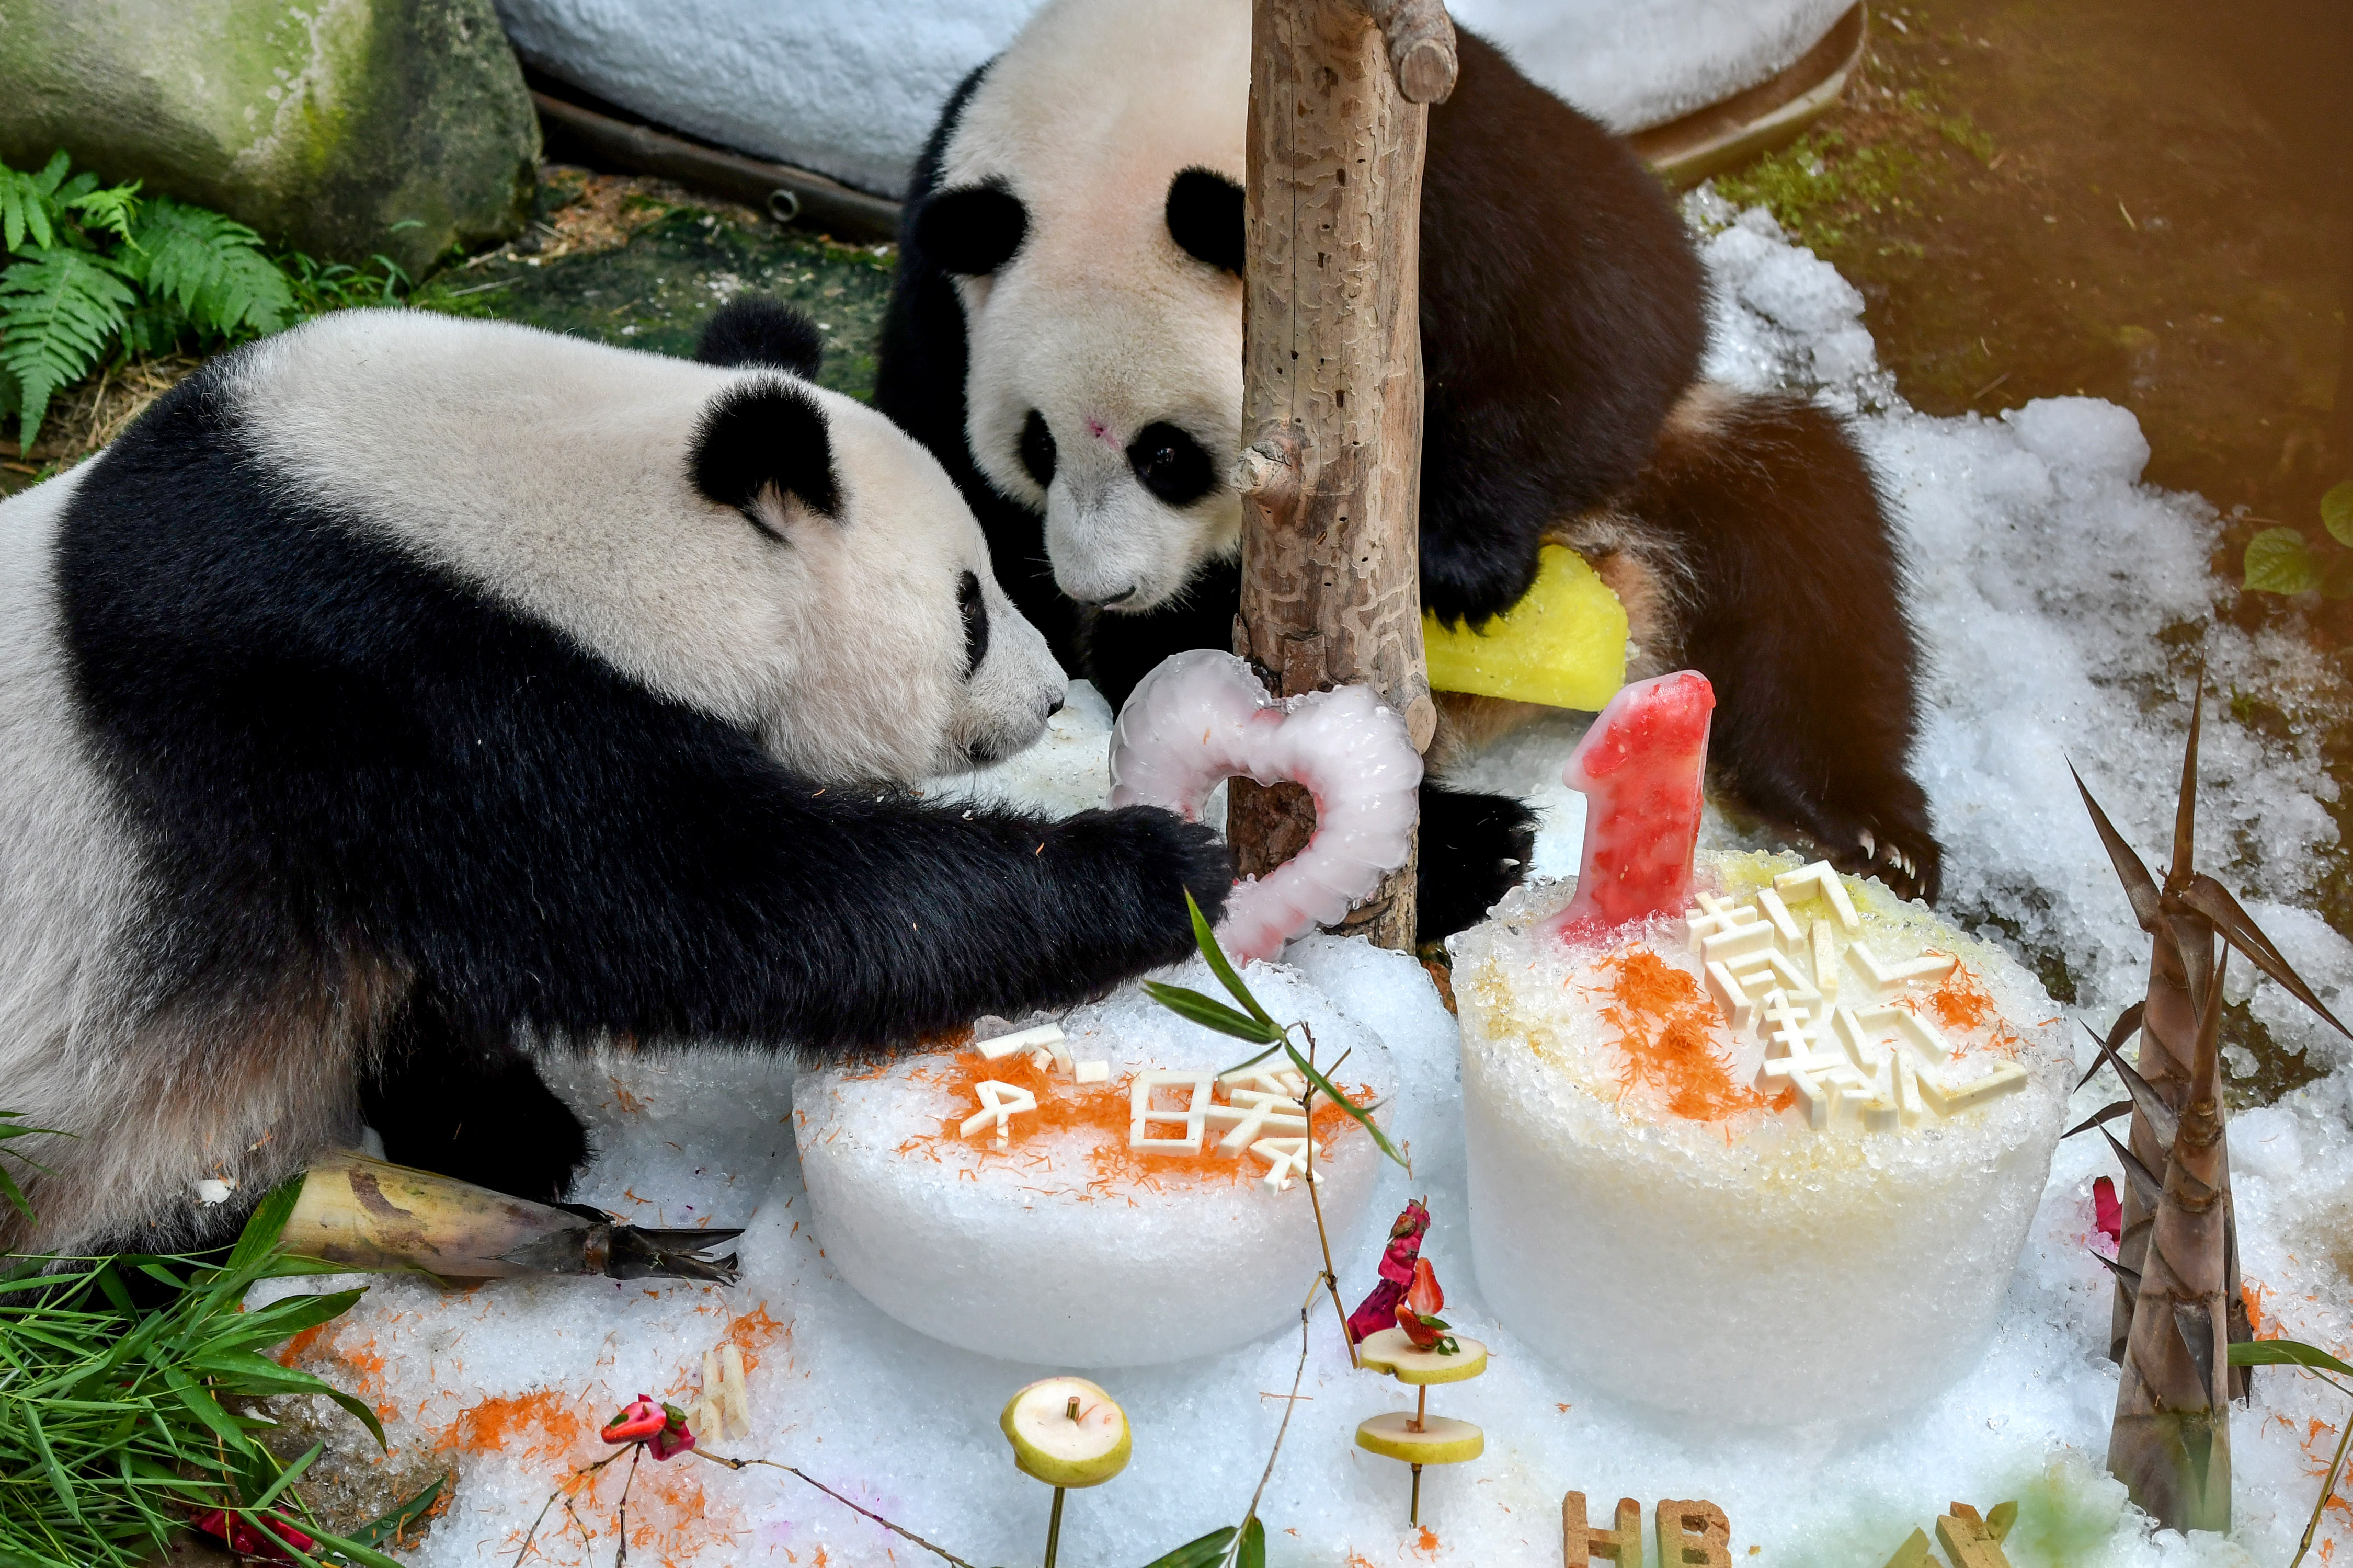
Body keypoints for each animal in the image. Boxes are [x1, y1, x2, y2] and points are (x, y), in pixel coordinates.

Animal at [0, 296, 1242, 1262]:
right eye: (971, 607)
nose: (1050, 698)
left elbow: (428, 973)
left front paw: (504, 1133)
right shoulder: (373, 683)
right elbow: (721, 900)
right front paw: (1160, 868)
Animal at [875, 0, 1939, 928]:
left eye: (1166, 453)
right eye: (1038, 444)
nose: (1107, 586)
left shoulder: (1444, 149)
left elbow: (1615, 304)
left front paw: (1465, 566)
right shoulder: (945, 270)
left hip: (1669, 472)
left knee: (1806, 540)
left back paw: (1856, 823)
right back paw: (1472, 845)